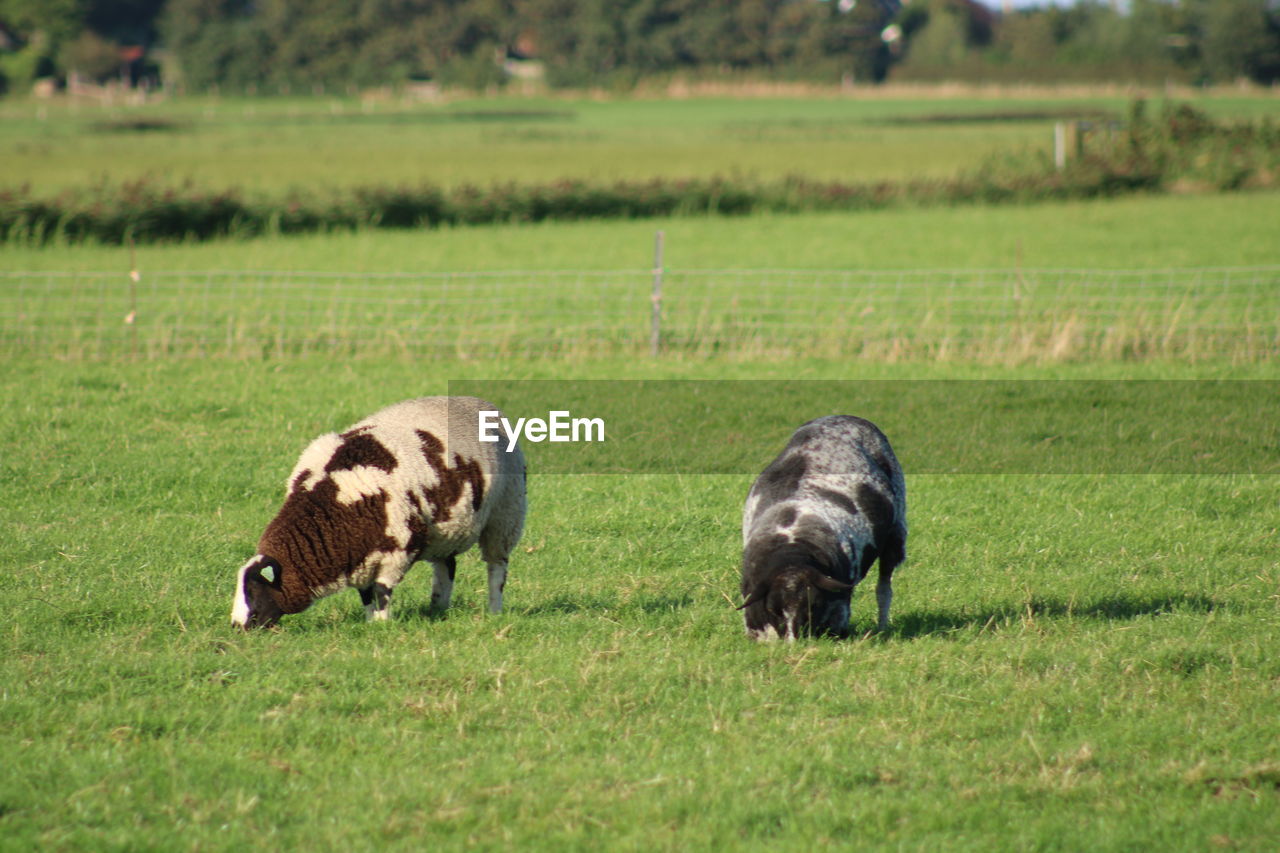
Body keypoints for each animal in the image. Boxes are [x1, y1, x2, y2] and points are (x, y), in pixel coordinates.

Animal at [230, 394, 524, 627]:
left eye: (253, 592)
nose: (236, 627)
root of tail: (480, 403)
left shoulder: (397, 549)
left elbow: (381, 591)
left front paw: (382, 626)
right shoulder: (359, 557)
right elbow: (366, 594)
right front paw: (371, 623)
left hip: (505, 515)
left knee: (497, 568)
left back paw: (494, 610)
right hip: (446, 530)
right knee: (446, 566)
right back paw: (437, 610)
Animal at [737, 412, 906, 637]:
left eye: (813, 605)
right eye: (773, 609)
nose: (795, 640)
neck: (792, 547)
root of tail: (845, 416)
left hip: (896, 534)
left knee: (884, 589)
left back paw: (882, 628)